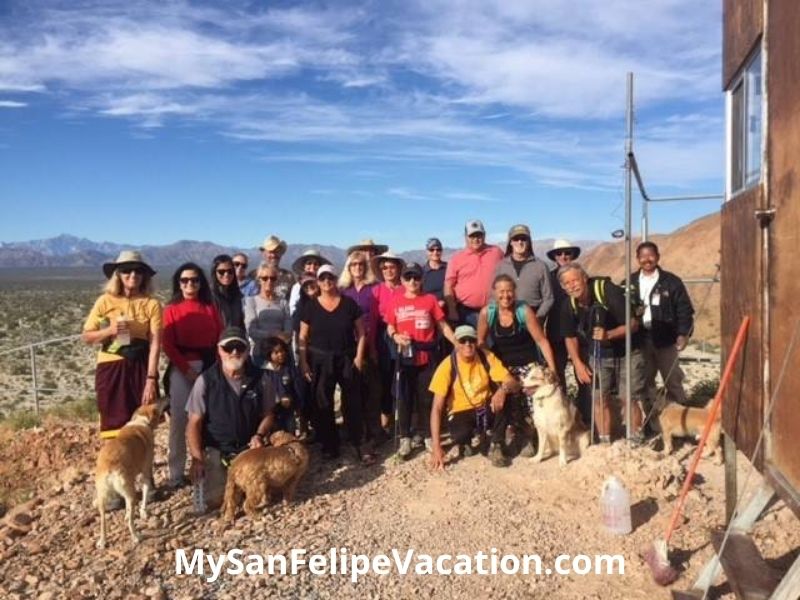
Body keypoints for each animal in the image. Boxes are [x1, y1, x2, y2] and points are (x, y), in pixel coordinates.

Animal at [95, 398, 166, 548]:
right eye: (156, 402)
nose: (167, 397)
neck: (140, 421)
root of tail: (110, 466)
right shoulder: (146, 473)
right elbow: (145, 495)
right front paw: (144, 512)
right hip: (130, 493)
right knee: (130, 521)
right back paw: (136, 537)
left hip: (102, 497)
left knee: (103, 521)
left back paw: (102, 541)